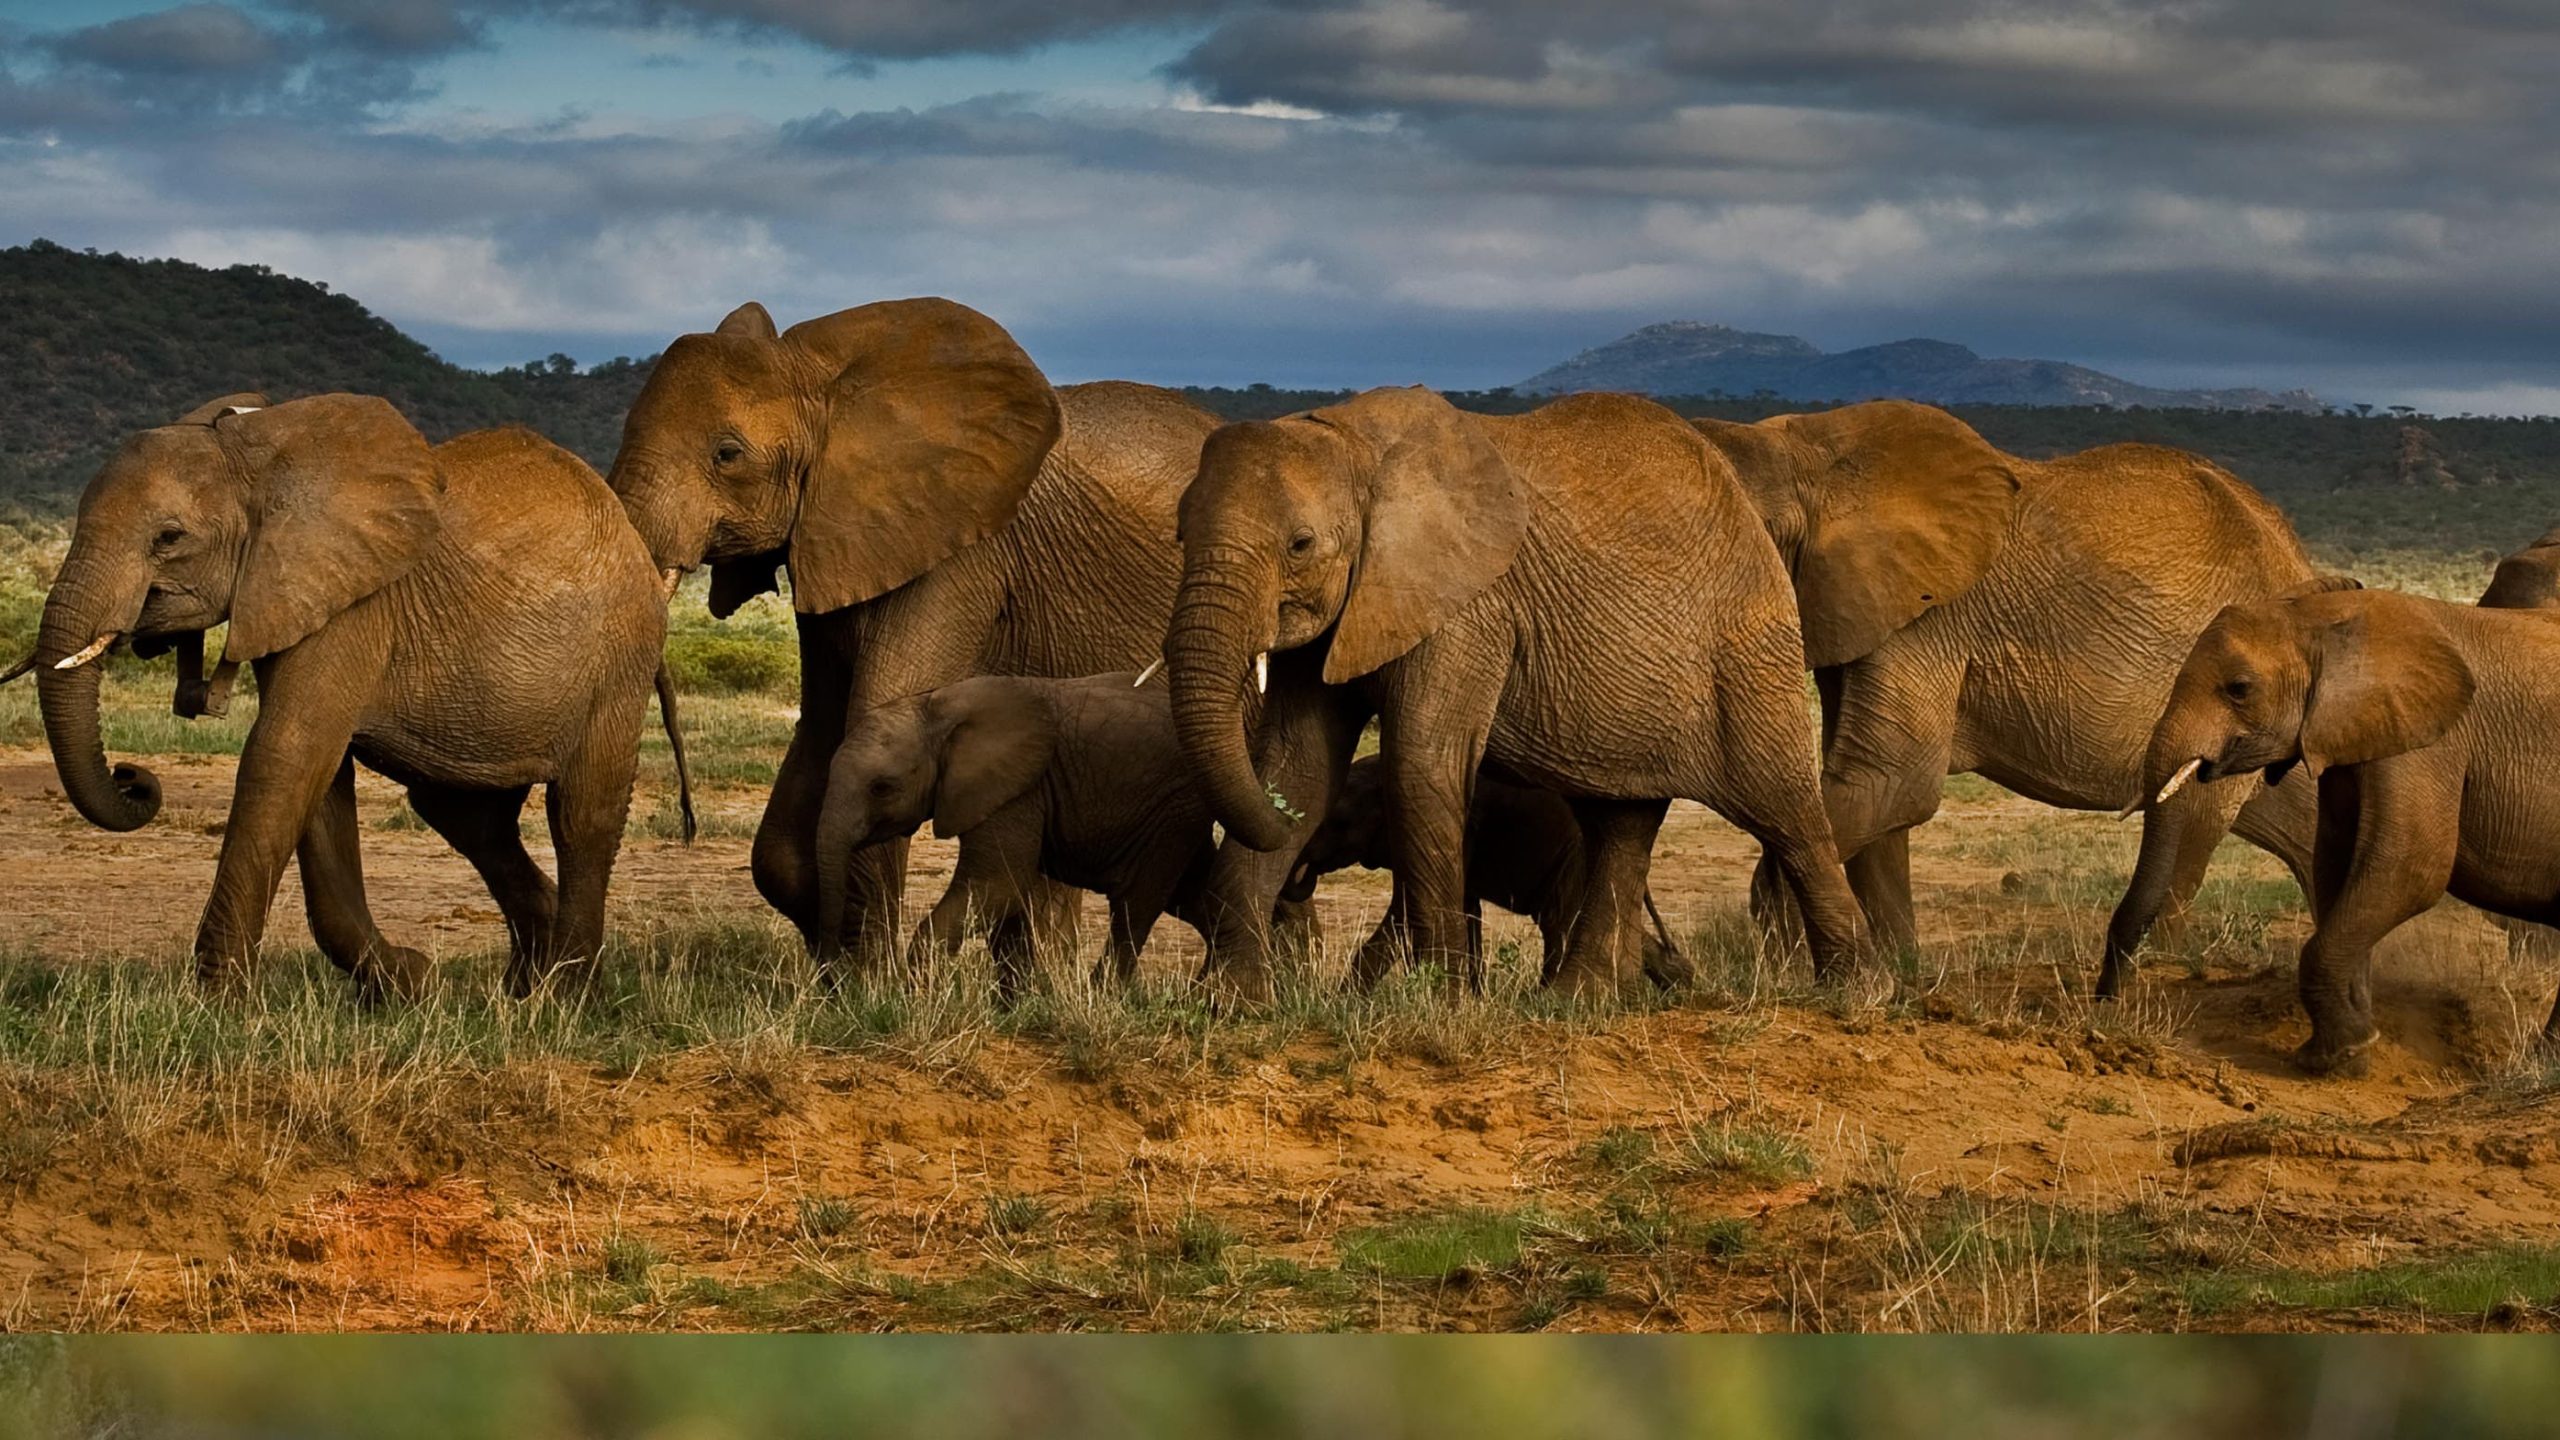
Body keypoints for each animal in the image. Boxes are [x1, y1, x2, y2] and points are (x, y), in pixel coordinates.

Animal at [21, 393, 672, 998]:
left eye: (169, 537)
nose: (134, 777)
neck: (259, 453)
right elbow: (317, 778)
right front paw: (411, 985)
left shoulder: (352, 607)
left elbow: (285, 755)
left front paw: (215, 1002)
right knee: (467, 818)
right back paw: (521, 987)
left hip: (622, 657)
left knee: (581, 814)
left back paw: (563, 996)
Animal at [812, 671, 1215, 1000]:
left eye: (882, 788)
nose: (839, 982)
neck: (936, 709)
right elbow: (1005, 897)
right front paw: (1016, 1004)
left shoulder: (1018, 788)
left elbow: (997, 885)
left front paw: (915, 1001)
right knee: (1197, 897)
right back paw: (1204, 995)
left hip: (1173, 811)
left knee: (1136, 904)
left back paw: (1108, 995)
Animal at [1276, 755, 1689, 987]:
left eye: (1339, 822)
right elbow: (1463, 908)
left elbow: (1408, 909)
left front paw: (1343, 999)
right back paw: (1682, 984)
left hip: (1574, 857)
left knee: (1560, 924)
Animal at [1690, 401, 2323, 984]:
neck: (1811, 448)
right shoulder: (1855, 605)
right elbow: (1879, 795)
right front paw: (1902, 974)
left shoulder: (1931, 619)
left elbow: (1895, 781)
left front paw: (1784, 976)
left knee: (2197, 824)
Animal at [2132, 586, 2560, 1073]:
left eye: (2239, 688)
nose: (2108, 995)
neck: (2320, 616)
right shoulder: (2349, 738)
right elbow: (2336, 865)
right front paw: (2354, 1044)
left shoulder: (2428, 743)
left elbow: (2411, 870)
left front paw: (2338, 1056)